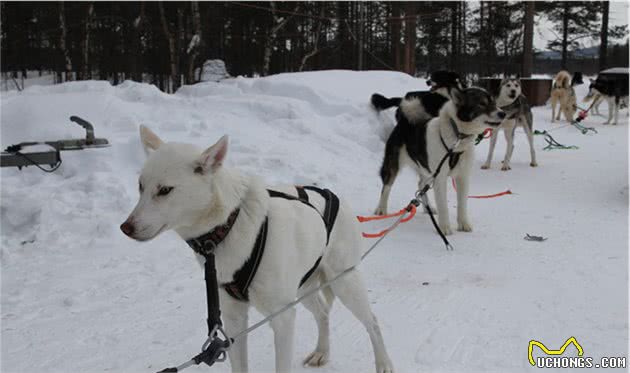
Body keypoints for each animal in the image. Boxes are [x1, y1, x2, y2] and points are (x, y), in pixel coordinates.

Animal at [120, 126, 392, 370]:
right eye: (141, 186)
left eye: (165, 190)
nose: (125, 227)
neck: (229, 224)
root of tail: (337, 198)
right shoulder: (233, 320)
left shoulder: (282, 318)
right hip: (304, 290)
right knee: (323, 313)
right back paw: (321, 352)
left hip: (344, 283)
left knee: (373, 322)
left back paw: (384, 363)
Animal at [372, 88, 506, 234]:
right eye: (482, 103)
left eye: (494, 102)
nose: (503, 113)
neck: (457, 138)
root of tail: (406, 121)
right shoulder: (440, 178)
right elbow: (443, 205)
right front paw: (445, 228)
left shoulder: (463, 177)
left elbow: (462, 204)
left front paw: (463, 223)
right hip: (392, 165)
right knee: (387, 187)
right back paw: (381, 209)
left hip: (427, 171)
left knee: (421, 186)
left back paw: (428, 208)